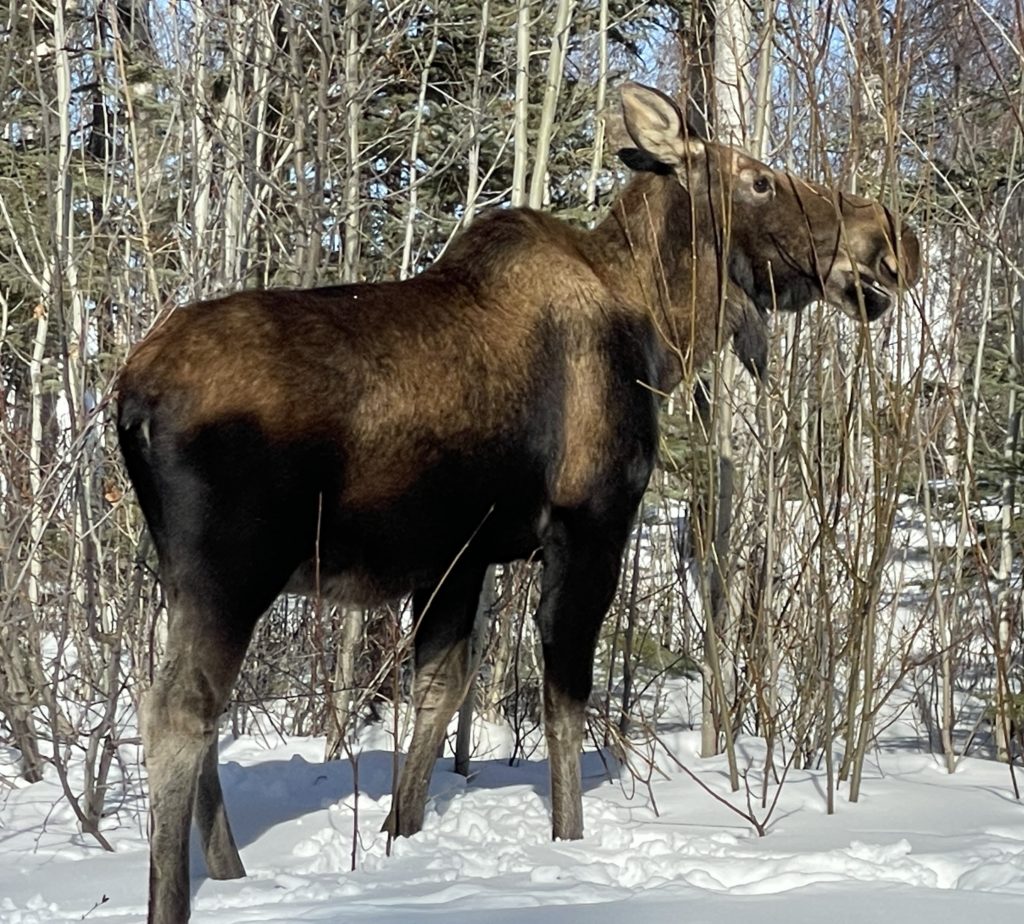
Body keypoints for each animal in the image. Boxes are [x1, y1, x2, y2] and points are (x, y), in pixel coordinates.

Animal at [117, 82, 921, 921]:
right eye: (760, 180)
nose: (891, 240)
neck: (662, 331)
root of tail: (131, 396)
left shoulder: (458, 559)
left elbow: (439, 693)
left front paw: (400, 838)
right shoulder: (590, 525)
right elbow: (564, 700)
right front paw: (568, 844)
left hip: (181, 570)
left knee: (191, 708)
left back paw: (235, 875)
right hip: (233, 566)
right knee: (179, 711)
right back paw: (181, 895)